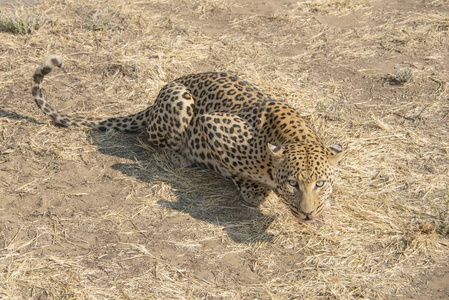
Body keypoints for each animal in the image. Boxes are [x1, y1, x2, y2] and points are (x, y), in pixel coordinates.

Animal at [31, 55, 344, 223]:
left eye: (320, 184)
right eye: (293, 183)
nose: (307, 214)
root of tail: (155, 99)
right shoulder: (212, 124)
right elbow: (237, 172)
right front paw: (252, 188)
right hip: (181, 100)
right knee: (153, 140)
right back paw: (180, 157)